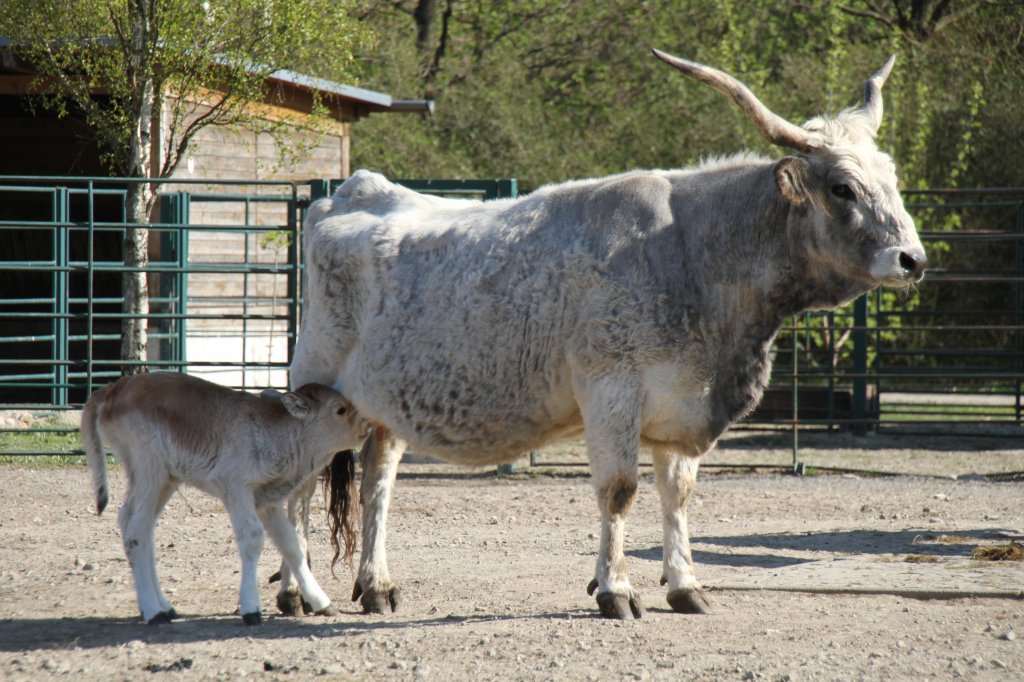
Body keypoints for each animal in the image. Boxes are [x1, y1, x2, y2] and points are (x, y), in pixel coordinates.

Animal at [80, 372, 368, 622]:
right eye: (340, 410)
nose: (366, 423)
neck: (271, 430)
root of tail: (112, 389)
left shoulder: (268, 503)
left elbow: (292, 546)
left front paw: (322, 602)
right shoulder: (237, 490)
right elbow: (252, 540)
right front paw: (251, 609)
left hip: (166, 480)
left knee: (141, 526)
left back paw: (164, 606)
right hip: (149, 471)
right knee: (136, 530)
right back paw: (153, 611)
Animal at [284, 50, 925, 618]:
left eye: (893, 179)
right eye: (842, 187)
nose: (913, 259)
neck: (693, 253)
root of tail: (353, 189)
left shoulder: (680, 405)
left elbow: (677, 495)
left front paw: (685, 585)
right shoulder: (612, 390)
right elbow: (619, 490)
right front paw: (615, 590)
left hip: (387, 402)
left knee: (378, 481)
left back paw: (376, 586)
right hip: (312, 382)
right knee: (297, 485)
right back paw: (295, 592)